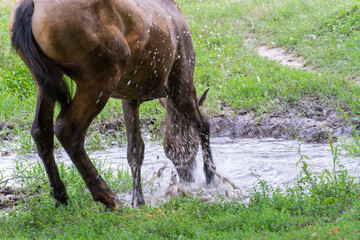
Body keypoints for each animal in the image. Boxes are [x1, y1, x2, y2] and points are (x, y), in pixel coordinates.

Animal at [9, 0, 214, 209]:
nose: (188, 178)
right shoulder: (180, 79)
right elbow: (203, 124)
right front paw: (211, 176)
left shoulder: (130, 97)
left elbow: (135, 149)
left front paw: (138, 200)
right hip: (100, 78)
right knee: (67, 128)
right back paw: (106, 197)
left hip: (43, 79)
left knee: (41, 130)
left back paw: (61, 196)